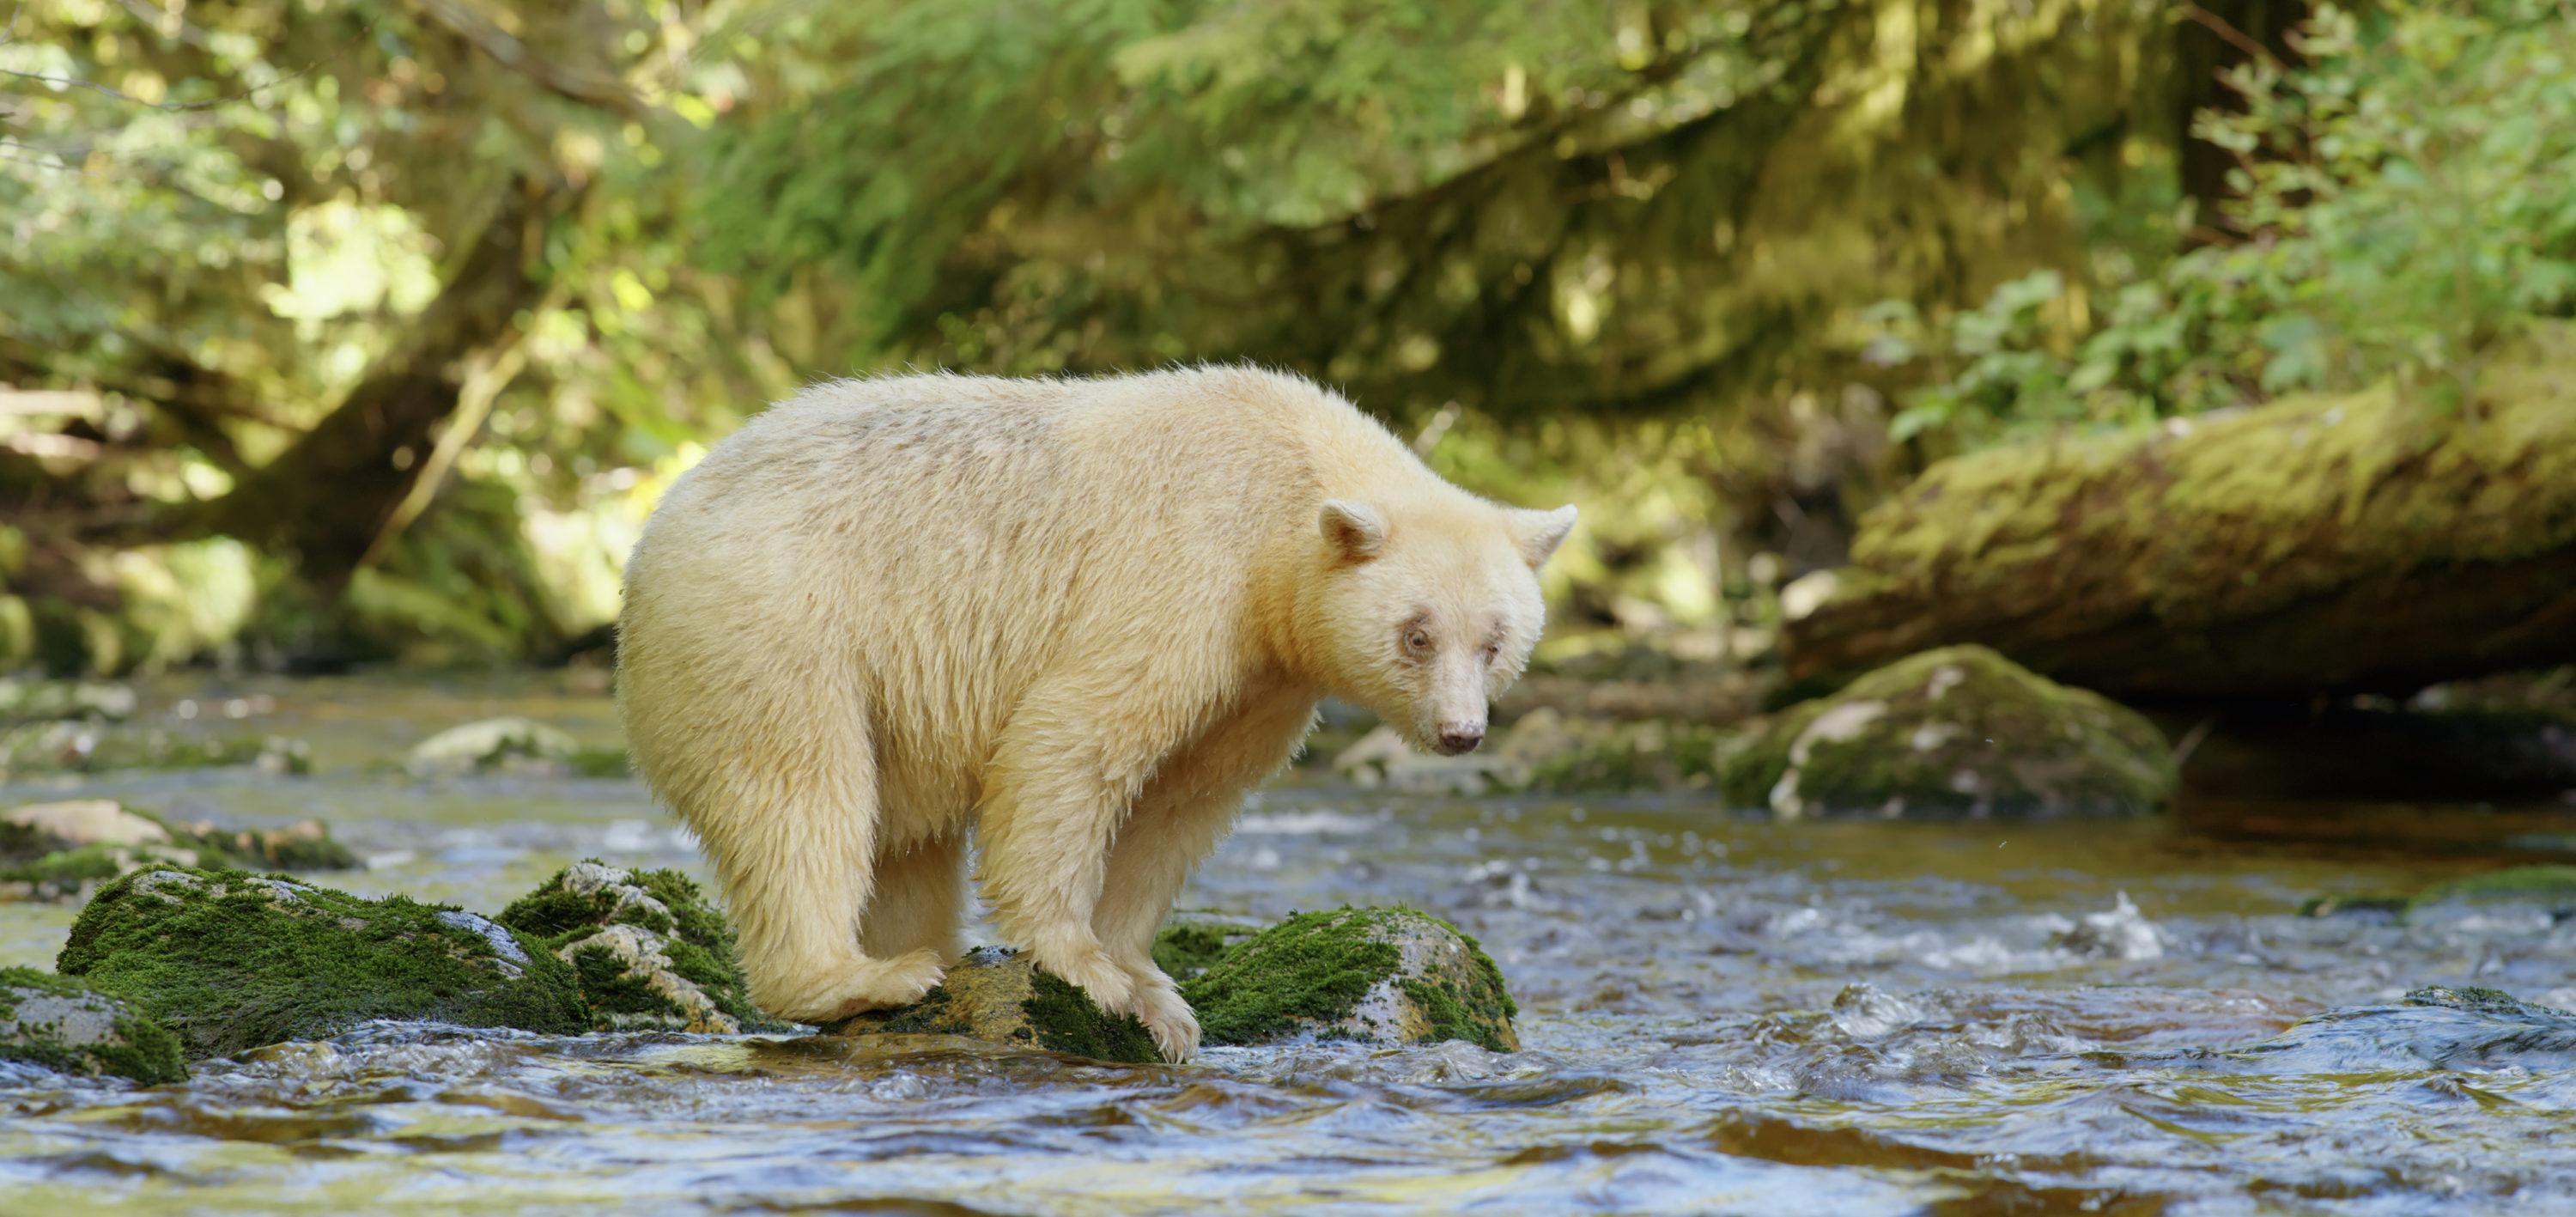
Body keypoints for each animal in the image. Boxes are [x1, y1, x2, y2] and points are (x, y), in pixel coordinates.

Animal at [616, 366, 1573, 1060]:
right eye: (1417, 633)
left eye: (1497, 638)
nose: (1461, 732)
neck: (1283, 490)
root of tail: (657, 524)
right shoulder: (1184, 573)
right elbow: (1074, 739)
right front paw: (1085, 967)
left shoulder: (1262, 678)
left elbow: (1180, 803)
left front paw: (1157, 995)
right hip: (773, 625)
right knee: (799, 793)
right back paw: (869, 976)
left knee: (903, 841)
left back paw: (926, 950)